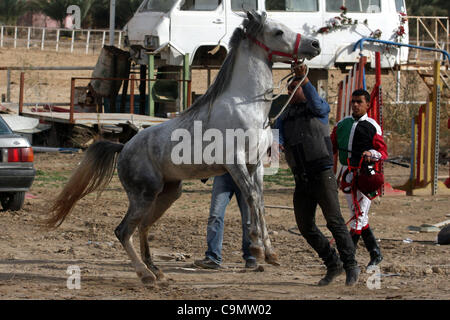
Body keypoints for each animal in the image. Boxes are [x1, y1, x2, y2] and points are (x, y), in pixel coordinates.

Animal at [45, 11, 320, 284]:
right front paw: (256, 247)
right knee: (123, 231)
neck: (245, 105)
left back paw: (157, 271)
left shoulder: (256, 164)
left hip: (168, 193)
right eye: (278, 32)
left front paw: (270, 253)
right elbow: (252, 197)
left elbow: (259, 201)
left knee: (142, 227)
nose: (315, 44)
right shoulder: (235, 162)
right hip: (144, 195)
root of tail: (122, 149)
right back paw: (145, 275)